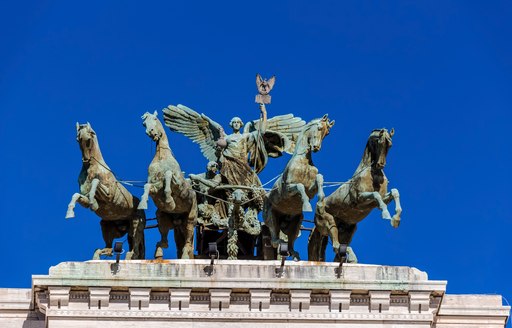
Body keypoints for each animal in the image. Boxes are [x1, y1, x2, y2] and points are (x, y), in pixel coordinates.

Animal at [65, 122, 146, 258]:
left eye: (90, 136)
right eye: (77, 139)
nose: (86, 159)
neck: (93, 169)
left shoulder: (109, 196)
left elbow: (96, 183)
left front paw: (93, 202)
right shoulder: (84, 197)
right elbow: (76, 196)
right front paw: (70, 212)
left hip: (136, 225)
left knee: (135, 249)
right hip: (109, 226)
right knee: (108, 249)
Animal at [138, 111, 198, 258]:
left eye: (155, 119)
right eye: (144, 123)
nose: (151, 132)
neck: (161, 157)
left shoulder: (178, 184)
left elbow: (168, 175)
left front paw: (170, 201)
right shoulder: (155, 185)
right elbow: (147, 187)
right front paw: (143, 202)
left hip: (191, 217)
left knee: (188, 239)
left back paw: (185, 254)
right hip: (164, 217)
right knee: (164, 235)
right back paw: (160, 249)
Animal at [264, 115, 336, 262]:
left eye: (327, 133)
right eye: (319, 128)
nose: (316, 147)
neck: (303, 161)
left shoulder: (311, 189)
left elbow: (319, 179)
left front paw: (321, 201)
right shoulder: (287, 190)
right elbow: (300, 186)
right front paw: (307, 205)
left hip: (296, 222)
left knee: (290, 242)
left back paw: (293, 253)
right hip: (271, 217)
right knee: (274, 240)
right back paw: (281, 243)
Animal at [308, 127, 404, 262]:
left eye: (390, 145)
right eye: (379, 142)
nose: (381, 164)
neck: (373, 173)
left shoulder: (377, 200)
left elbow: (395, 192)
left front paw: (396, 219)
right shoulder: (360, 199)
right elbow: (376, 195)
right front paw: (385, 213)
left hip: (349, 231)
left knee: (339, 250)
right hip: (328, 222)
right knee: (336, 246)